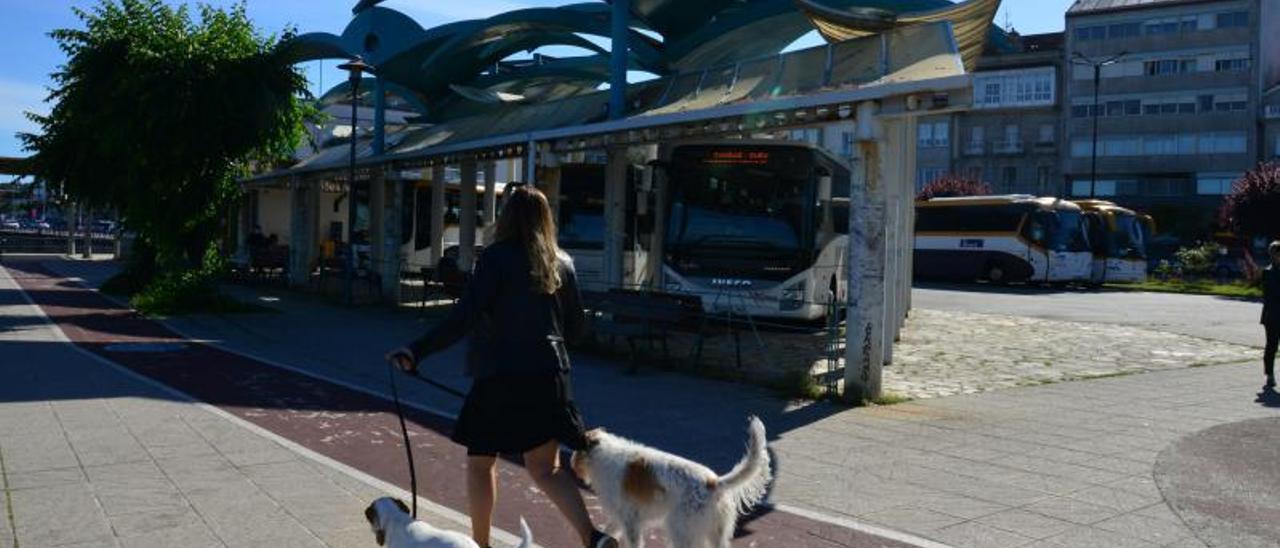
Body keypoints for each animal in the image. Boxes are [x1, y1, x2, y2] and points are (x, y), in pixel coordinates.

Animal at [576, 417, 773, 545]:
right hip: (713, 533)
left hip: (680, 529)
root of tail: (713, 482)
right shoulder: (621, 518)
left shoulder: (630, 521)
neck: (601, 450)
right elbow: (608, 529)